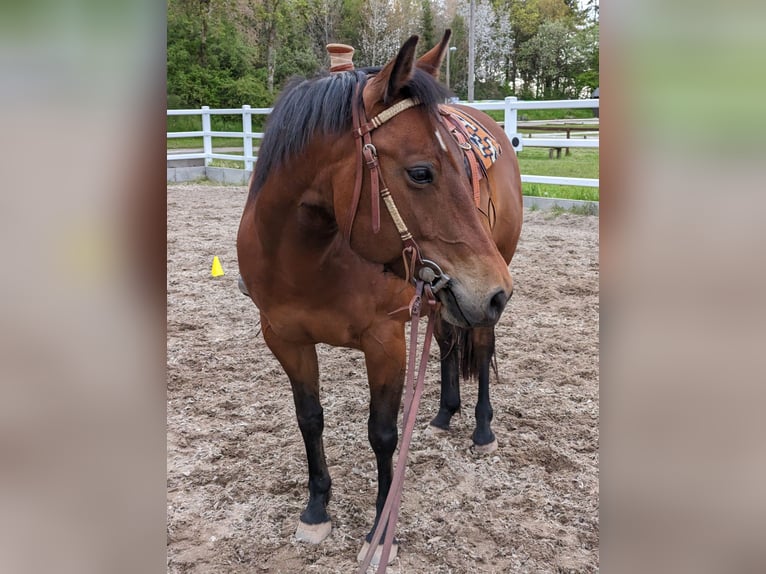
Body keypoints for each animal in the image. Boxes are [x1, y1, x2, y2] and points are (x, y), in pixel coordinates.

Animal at [236, 30, 523, 564]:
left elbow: (383, 433)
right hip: (446, 299)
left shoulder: (385, 340)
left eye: (457, 165)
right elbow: (309, 419)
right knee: (448, 341)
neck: (309, 257)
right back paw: (444, 414)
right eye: (421, 172)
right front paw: (316, 510)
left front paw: (379, 531)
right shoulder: (284, 339)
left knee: (480, 345)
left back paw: (481, 430)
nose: (496, 290)